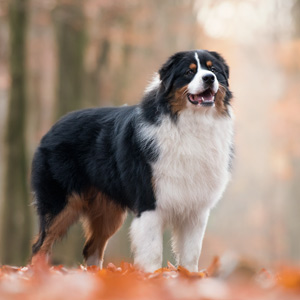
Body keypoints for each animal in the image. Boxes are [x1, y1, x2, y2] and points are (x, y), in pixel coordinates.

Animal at [32, 49, 234, 272]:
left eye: (214, 69)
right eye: (189, 72)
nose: (209, 78)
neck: (191, 124)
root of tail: (53, 127)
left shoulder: (196, 209)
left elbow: (191, 253)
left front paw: (189, 276)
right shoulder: (149, 201)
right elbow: (153, 252)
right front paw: (152, 277)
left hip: (108, 210)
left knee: (92, 247)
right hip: (61, 202)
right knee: (40, 245)